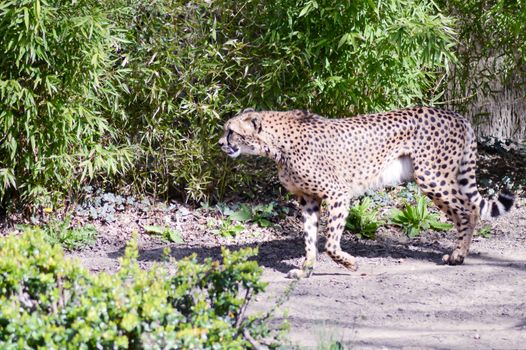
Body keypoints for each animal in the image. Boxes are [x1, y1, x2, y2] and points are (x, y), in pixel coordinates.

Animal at [219, 107, 516, 278]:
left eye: (231, 131)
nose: (221, 143)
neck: (275, 144)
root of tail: (456, 114)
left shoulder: (338, 193)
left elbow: (330, 244)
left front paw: (350, 264)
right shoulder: (308, 200)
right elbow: (310, 239)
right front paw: (306, 270)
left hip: (432, 177)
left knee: (468, 210)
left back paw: (458, 256)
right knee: (463, 211)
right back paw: (458, 252)